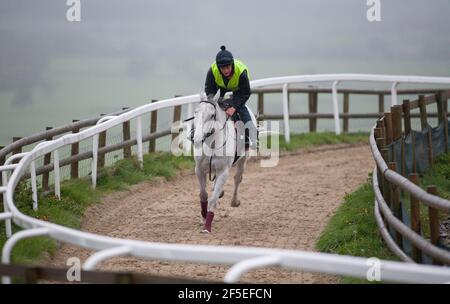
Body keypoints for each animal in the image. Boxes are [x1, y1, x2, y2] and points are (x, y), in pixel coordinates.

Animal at [192, 94, 250, 233]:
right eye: (196, 112)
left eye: (212, 115)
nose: (196, 139)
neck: (212, 143)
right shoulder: (199, 169)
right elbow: (203, 195)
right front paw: (203, 217)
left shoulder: (223, 172)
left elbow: (212, 199)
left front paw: (207, 227)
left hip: (243, 160)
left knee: (237, 179)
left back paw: (234, 201)